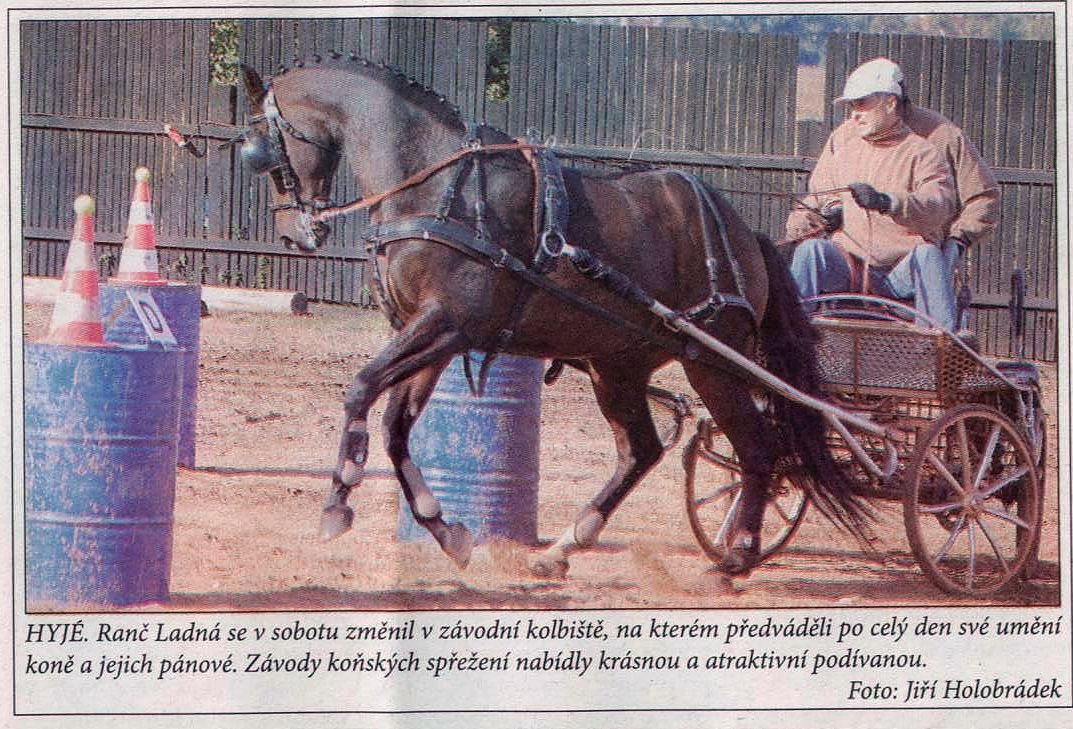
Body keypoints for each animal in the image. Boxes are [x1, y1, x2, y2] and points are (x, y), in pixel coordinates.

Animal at [237, 56, 873, 579]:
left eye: (262, 148)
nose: (294, 234)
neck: (437, 187)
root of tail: (746, 236)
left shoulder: (445, 324)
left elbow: (361, 388)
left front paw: (338, 499)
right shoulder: (431, 334)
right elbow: (396, 427)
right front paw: (447, 531)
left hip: (714, 362)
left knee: (759, 450)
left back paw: (736, 555)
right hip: (618, 364)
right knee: (642, 450)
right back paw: (566, 546)